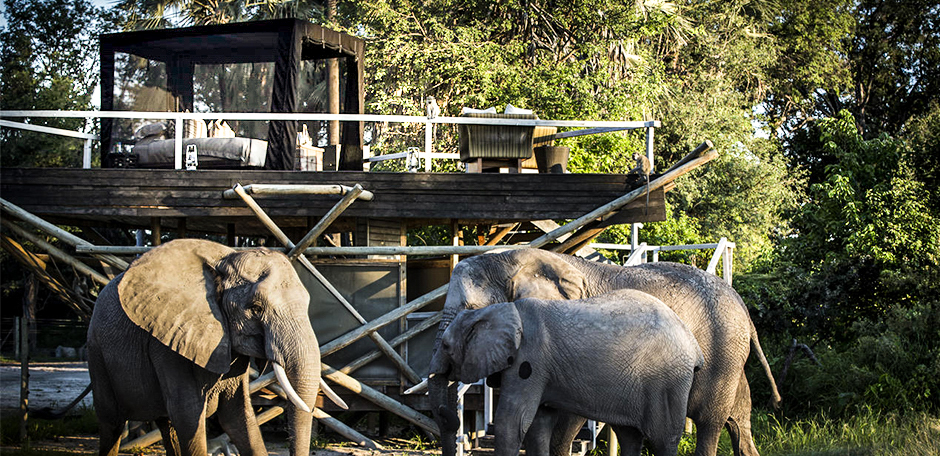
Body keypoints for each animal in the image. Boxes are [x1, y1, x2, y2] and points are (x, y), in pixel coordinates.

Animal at [87, 239, 346, 456]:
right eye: (255, 308)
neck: (224, 261)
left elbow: (237, 416)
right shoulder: (169, 342)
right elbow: (188, 415)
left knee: (166, 425)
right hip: (97, 352)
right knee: (112, 424)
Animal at [430, 290, 700, 456]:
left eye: (446, 346)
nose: (445, 411)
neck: (496, 309)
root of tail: (693, 344)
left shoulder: (530, 360)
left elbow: (512, 422)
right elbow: (538, 425)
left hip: (668, 382)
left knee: (664, 439)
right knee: (630, 437)